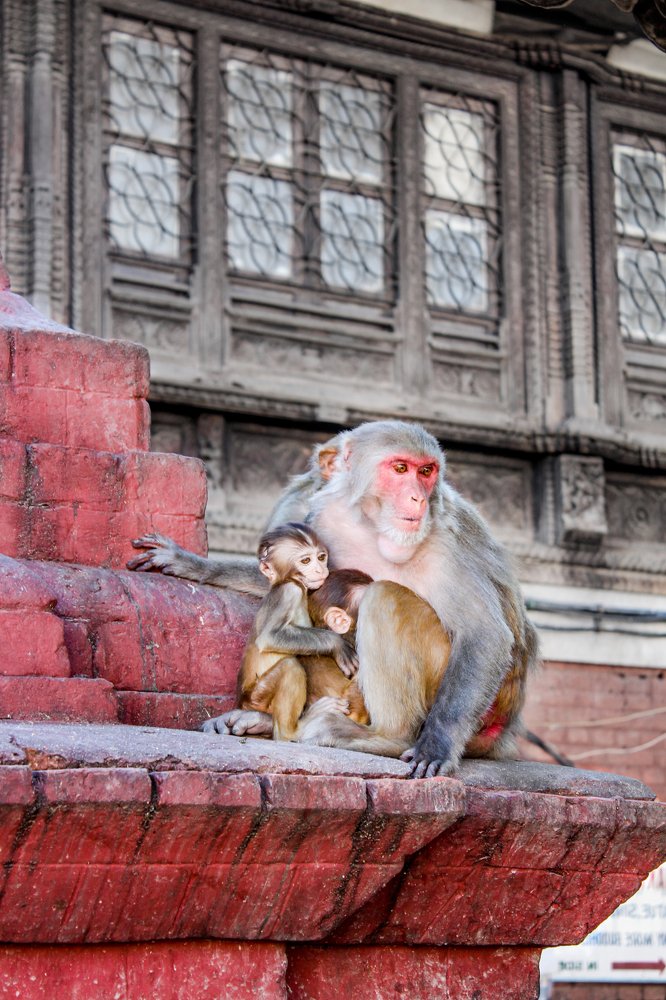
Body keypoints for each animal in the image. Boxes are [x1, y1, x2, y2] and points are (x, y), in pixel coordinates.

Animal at [130, 420, 539, 778]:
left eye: (426, 471)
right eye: (401, 468)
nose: (418, 499)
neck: (375, 527)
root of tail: (507, 725)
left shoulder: (443, 541)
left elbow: (484, 634)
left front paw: (436, 744)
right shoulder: (326, 519)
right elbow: (294, 579)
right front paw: (192, 563)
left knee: (385, 597)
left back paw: (387, 737)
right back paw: (264, 719)